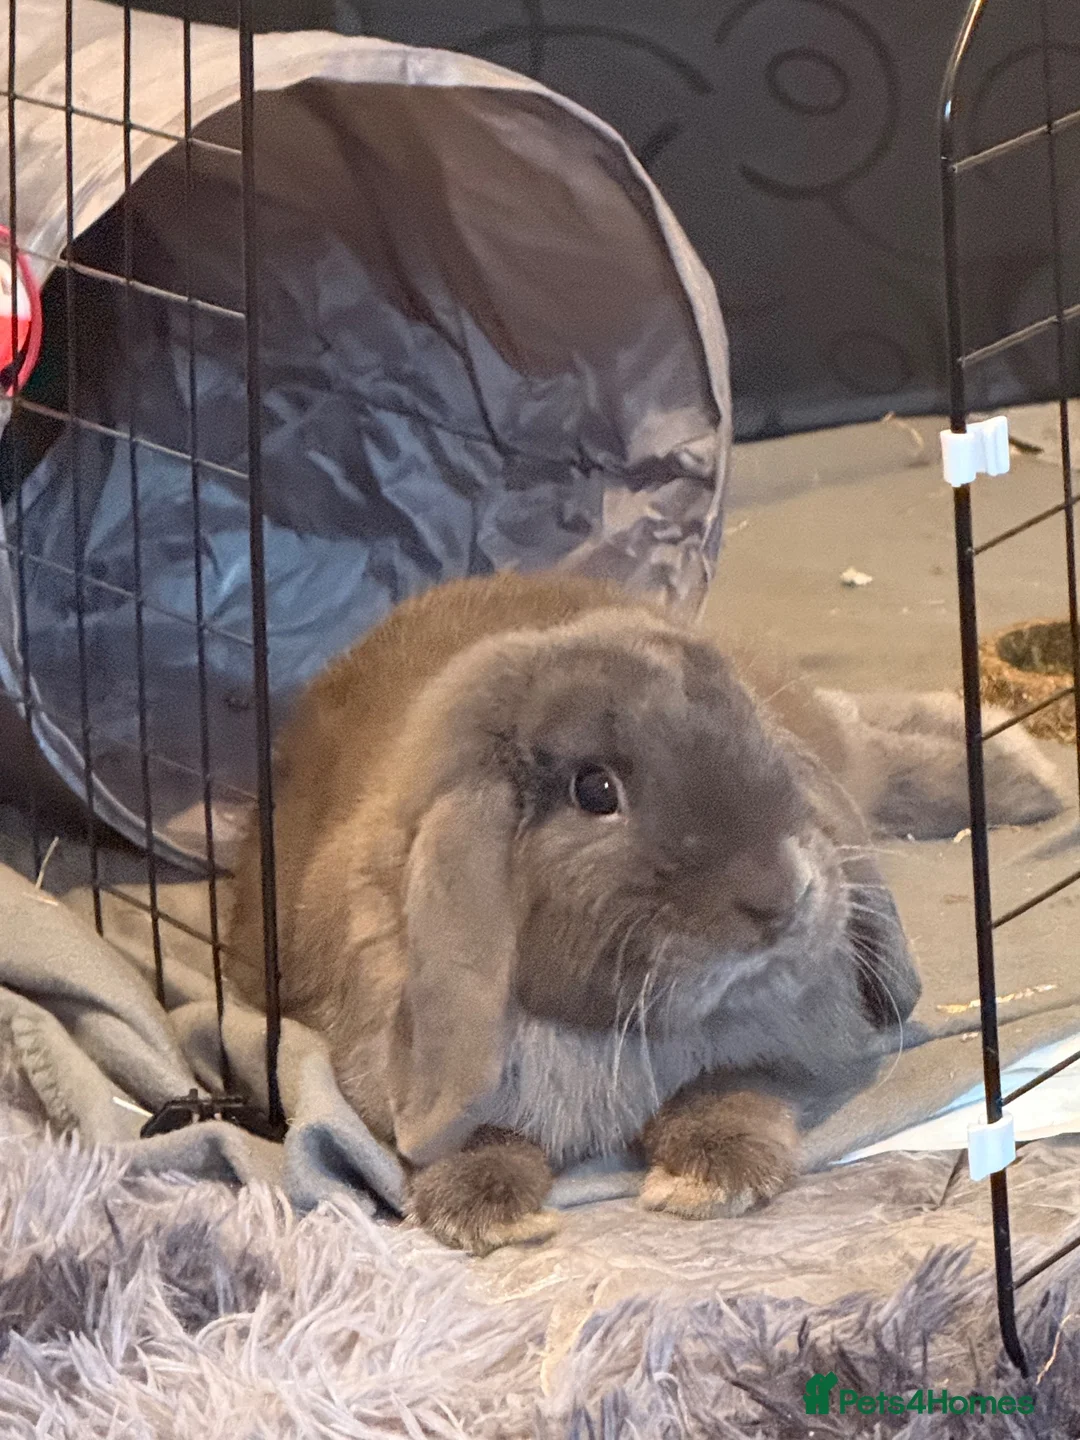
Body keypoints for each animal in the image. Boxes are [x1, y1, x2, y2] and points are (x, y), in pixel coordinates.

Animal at [227, 570, 1064, 1254]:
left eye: (753, 740)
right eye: (596, 790)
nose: (785, 894)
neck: (601, 1032)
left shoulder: (780, 1056)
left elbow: (726, 1093)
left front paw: (710, 1184)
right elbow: (473, 1136)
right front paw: (491, 1215)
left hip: (835, 741)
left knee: (872, 742)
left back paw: (1022, 771)